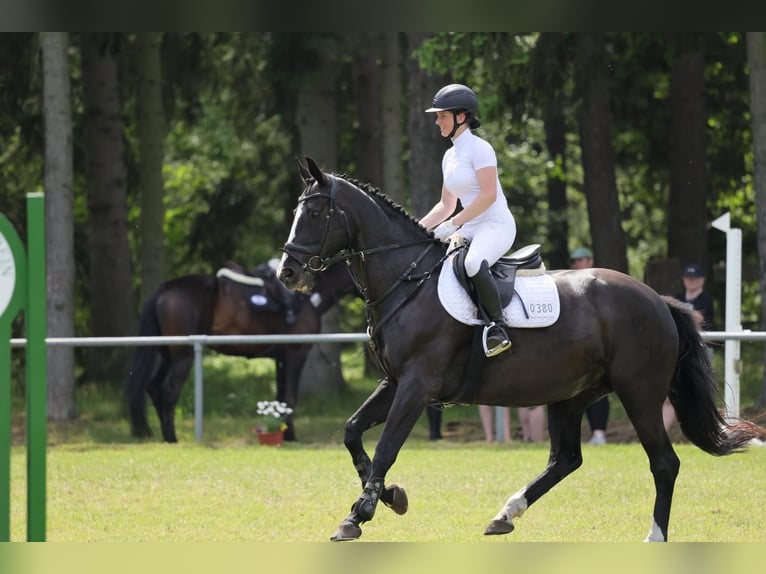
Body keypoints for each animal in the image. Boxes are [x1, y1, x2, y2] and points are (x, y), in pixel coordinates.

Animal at [126, 259, 357, 443]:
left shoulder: (280, 358)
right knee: (168, 392)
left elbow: (281, 397)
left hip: (168, 355)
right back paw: (172, 438)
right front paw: (291, 436)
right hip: (183, 356)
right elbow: (290, 398)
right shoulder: (296, 353)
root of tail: (165, 289)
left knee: (154, 388)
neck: (308, 297)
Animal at [277, 156, 765, 542]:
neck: (406, 279)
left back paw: (654, 536)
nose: (287, 273)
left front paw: (358, 515)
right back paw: (505, 513)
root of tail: (658, 300)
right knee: (565, 459)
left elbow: (386, 447)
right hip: (571, 396)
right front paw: (389, 496)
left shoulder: (416, 386)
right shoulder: (393, 382)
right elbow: (352, 432)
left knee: (664, 463)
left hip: (639, 394)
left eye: (316, 212)